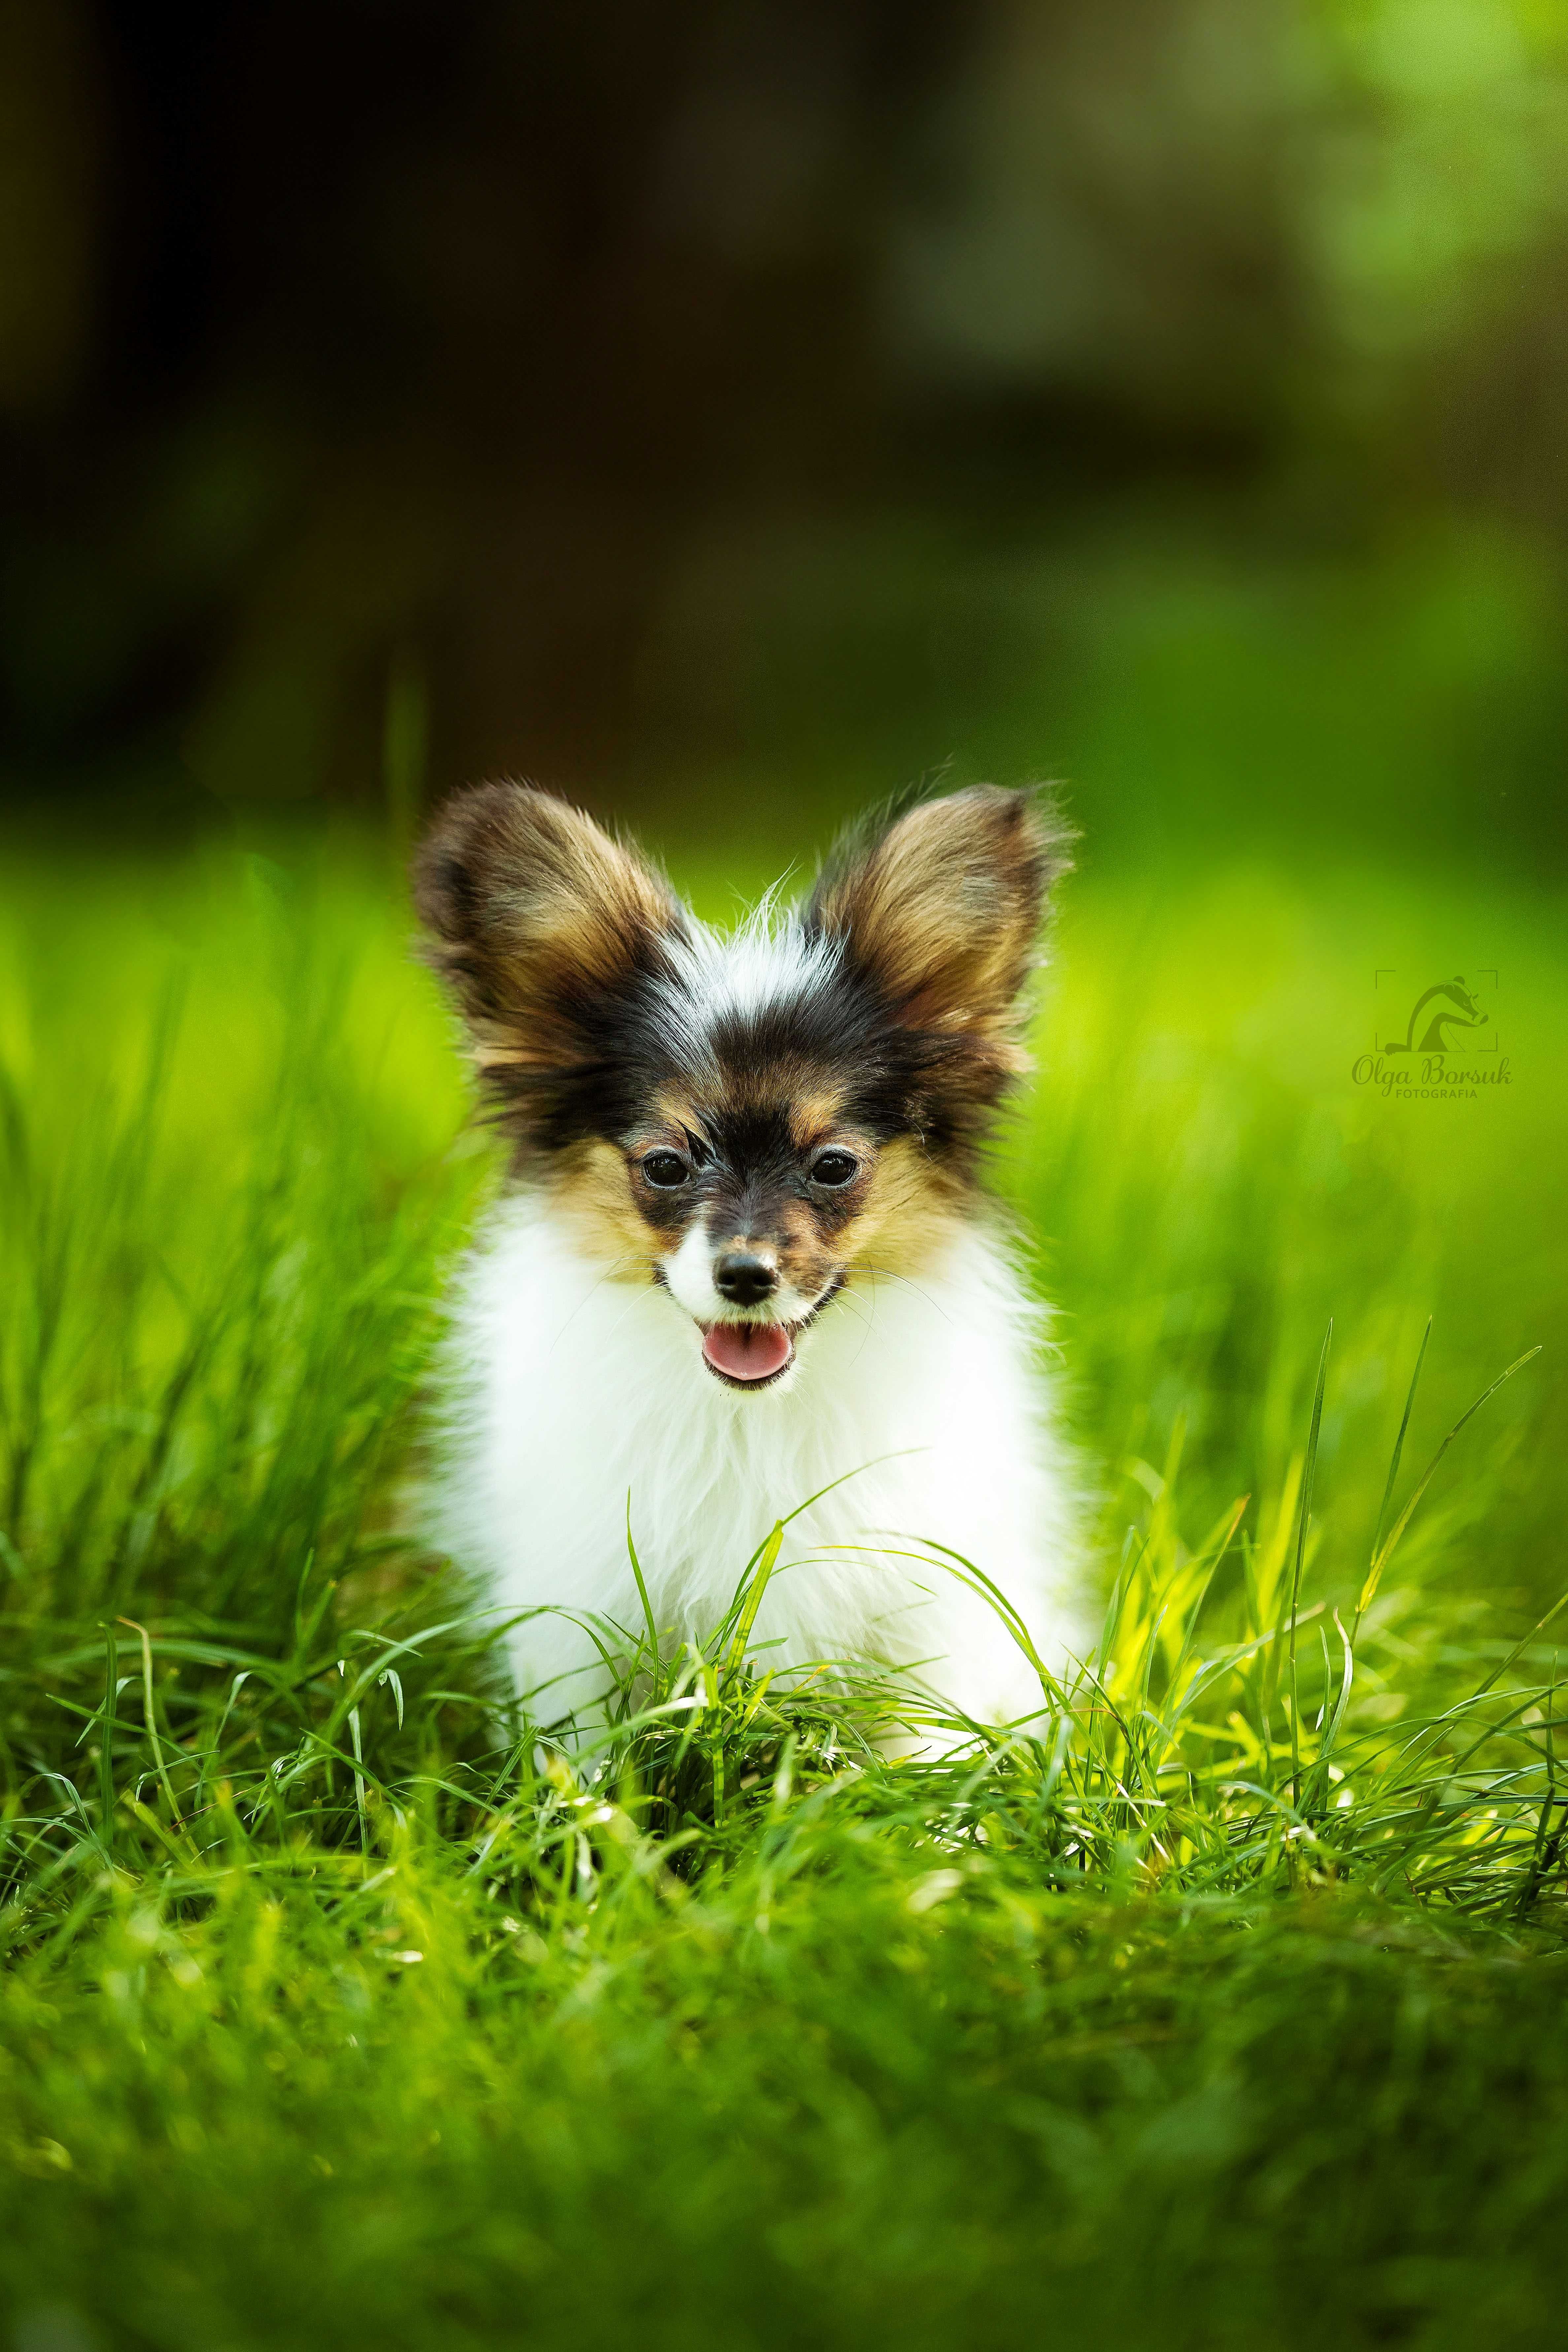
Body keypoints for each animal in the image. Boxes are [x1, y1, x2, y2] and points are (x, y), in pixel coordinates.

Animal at [414, 785, 1081, 1731]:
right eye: (665, 1165)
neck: (749, 1419)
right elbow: (576, 1738)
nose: (745, 1276)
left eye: (832, 1165)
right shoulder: (575, 1602)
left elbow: (916, 1737)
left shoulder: (925, 1605)